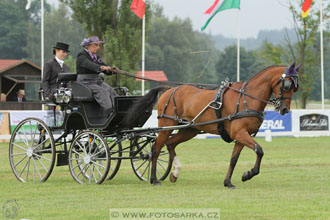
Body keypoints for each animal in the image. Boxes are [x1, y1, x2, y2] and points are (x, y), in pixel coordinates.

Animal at [125, 61, 300, 188]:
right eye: (287, 85)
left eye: (295, 87)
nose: (285, 109)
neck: (247, 98)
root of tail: (170, 89)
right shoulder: (239, 133)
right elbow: (259, 150)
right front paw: (248, 174)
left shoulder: (242, 135)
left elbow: (234, 159)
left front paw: (229, 182)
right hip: (167, 125)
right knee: (156, 149)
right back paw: (154, 179)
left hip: (189, 130)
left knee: (170, 144)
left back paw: (175, 173)